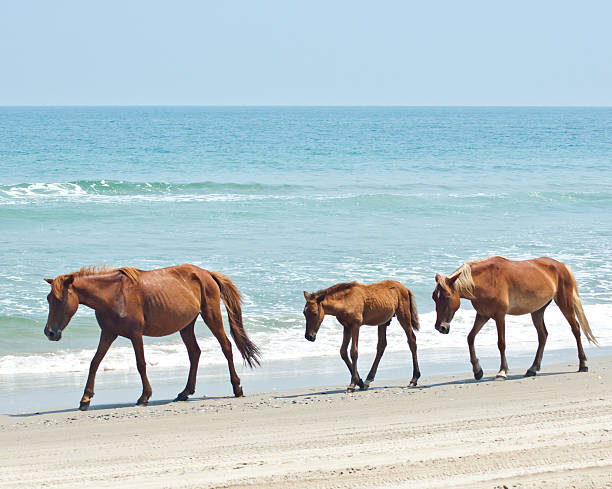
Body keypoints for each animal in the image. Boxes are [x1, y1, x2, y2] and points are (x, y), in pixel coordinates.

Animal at [43, 264, 260, 408]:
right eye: (48, 299)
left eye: (60, 299)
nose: (50, 332)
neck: (113, 295)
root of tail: (207, 273)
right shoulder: (108, 334)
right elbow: (94, 362)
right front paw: (85, 398)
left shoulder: (135, 334)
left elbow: (141, 364)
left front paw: (144, 396)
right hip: (186, 326)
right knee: (195, 353)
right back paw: (185, 392)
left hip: (211, 316)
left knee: (226, 346)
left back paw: (237, 388)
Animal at [430, 258, 596, 380]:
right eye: (434, 298)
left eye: (447, 297)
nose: (440, 327)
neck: (485, 280)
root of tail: (561, 265)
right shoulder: (483, 315)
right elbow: (470, 338)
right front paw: (477, 371)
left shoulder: (499, 316)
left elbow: (501, 343)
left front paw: (502, 372)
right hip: (537, 311)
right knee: (543, 336)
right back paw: (532, 369)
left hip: (564, 303)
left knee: (575, 329)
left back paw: (583, 364)